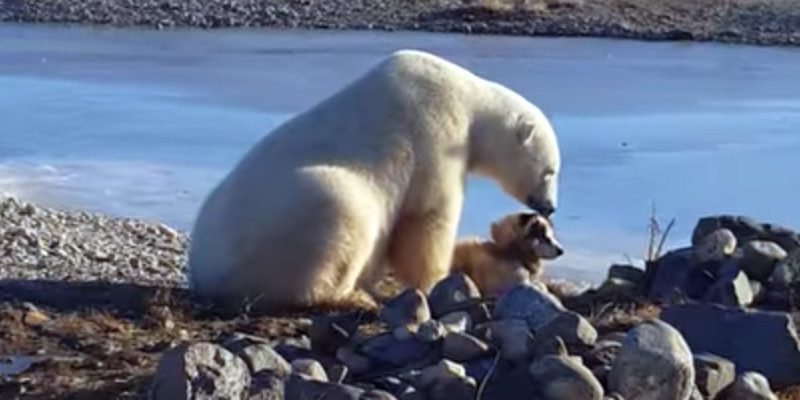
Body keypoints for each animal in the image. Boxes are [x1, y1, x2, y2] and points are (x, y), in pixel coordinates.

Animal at [190, 47, 560, 310]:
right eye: (550, 170)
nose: (550, 206)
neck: (468, 97)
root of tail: (205, 272)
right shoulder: (437, 135)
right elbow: (427, 217)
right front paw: (436, 280)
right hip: (288, 220)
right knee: (340, 210)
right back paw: (349, 296)